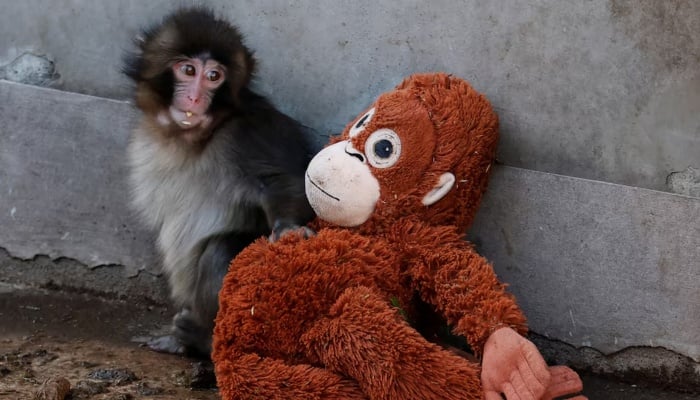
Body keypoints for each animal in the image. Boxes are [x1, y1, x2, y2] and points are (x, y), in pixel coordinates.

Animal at [122, 7, 316, 357]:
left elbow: (285, 180)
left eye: (214, 76)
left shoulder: (249, 131)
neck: (194, 137)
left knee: (221, 250)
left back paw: (201, 338)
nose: (196, 97)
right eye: (188, 70)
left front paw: (288, 228)